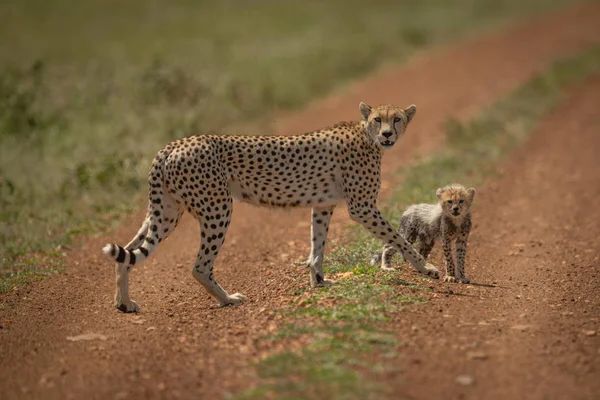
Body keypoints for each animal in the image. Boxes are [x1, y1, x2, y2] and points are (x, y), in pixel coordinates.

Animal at [102, 101, 440, 312]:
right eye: (377, 119)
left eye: (397, 118)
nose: (387, 134)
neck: (367, 136)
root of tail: (172, 144)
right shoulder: (362, 207)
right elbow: (398, 239)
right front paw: (425, 267)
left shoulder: (324, 205)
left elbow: (317, 246)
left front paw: (319, 282)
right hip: (217, 208)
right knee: (199, 265)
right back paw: (227, 299)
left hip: (166, 213)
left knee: (128, 253)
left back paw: (124, 303)